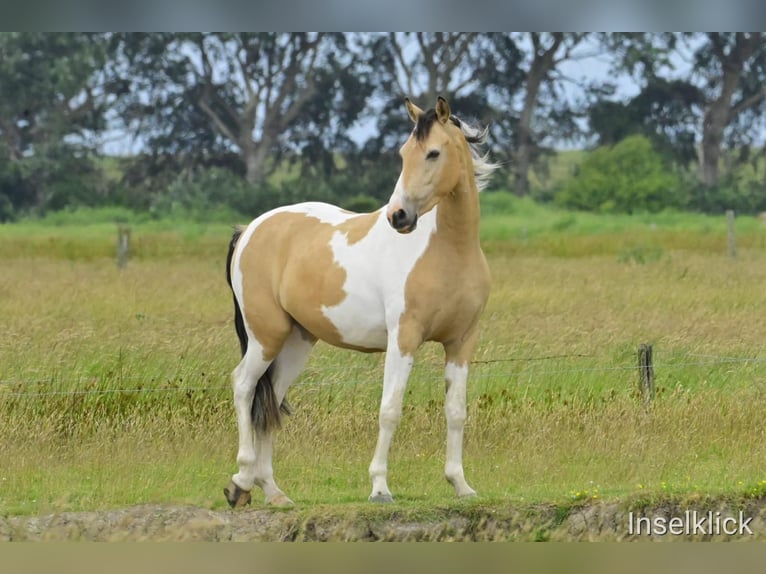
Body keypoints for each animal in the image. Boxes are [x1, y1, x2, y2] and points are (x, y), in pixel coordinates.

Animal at [224, 95, 498, 508]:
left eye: (433, 152)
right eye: (403, 153)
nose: (398, 216)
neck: (448, 250)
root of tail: (250, 229)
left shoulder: (461, 342)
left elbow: (456, 412)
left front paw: (460, 484)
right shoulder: (404, 339)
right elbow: (390, 410)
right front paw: (380, 487)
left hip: (295, 342)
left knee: (270, 402)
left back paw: (273, 492)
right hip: (265, 337)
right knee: (243, 386)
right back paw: (240, 481)